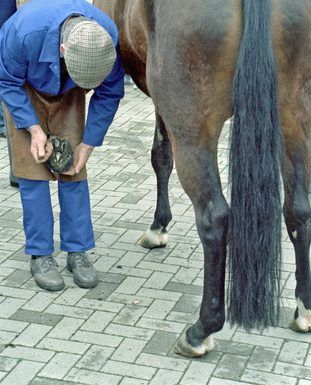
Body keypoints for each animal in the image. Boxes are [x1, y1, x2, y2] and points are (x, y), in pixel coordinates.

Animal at [94, 0, 311, 356]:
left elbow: (161, 156)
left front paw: (158, 228)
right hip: (292, 114)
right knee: (299, 210)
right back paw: (304, 308)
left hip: (190, 125)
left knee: (215, 217)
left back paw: (201, 330)